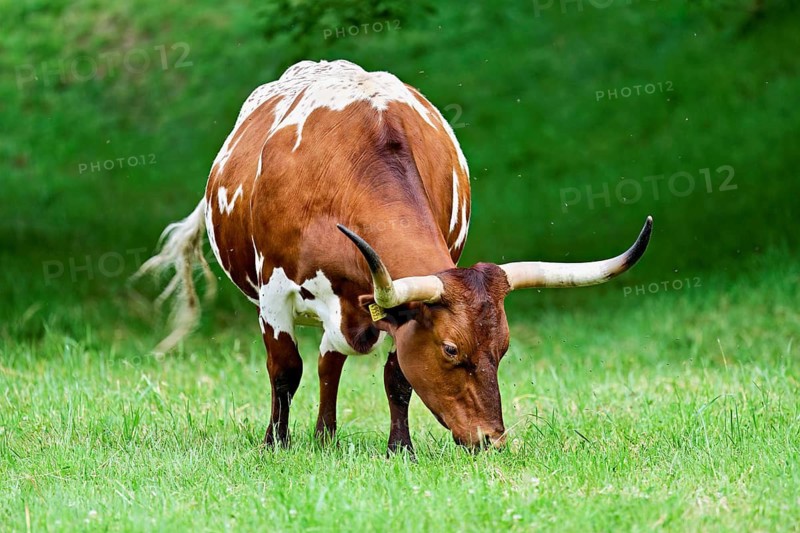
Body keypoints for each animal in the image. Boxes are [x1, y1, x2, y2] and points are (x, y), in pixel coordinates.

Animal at [136, 59, 652, 453]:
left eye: (503, 347)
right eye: (451, 349)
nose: (492, 439)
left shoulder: (396, 312)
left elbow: (396, 377)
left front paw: (400, 448)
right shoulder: (274, 295)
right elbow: (284, 371)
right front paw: (275, 444)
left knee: (329, 362)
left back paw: (325, 437)